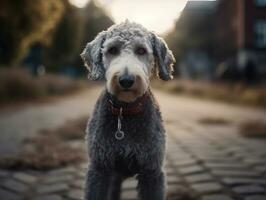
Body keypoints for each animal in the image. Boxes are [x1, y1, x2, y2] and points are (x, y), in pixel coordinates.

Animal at [81, 20, 177, 200]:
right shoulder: (99, 169)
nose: (126, 80)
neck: (124, 113)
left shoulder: (152, 171)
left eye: (141, 50)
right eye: (112, 50)